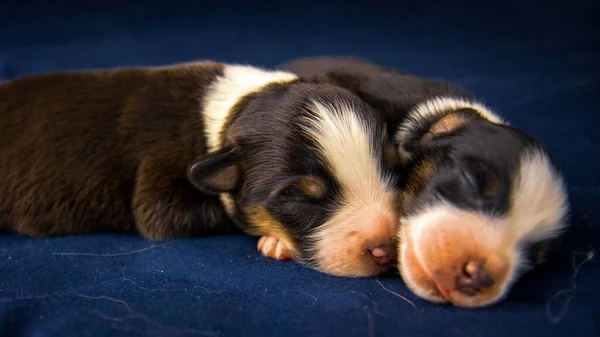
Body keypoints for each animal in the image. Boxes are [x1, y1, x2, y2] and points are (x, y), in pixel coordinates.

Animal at [1, 59, 404, 276]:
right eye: (302, 199)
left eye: (392, 166)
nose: (386, 248)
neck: (233, 112)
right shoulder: (159, 189)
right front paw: (276, 241)